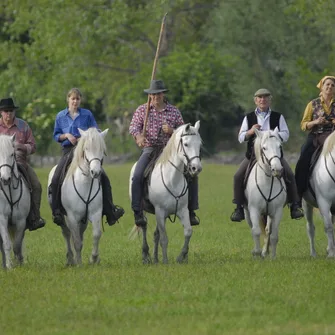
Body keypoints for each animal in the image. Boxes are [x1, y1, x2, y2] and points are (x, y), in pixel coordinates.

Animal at [48, 129, 108, 268]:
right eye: (86, 148)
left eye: (102, 149)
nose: (95, 172)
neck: (85, 184)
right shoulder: (72, 216)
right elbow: (75, 241)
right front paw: (79, 263)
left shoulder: (95, 213)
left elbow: (96, 234)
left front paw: (94, 258)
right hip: (64, 218)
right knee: (67, 234)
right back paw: (70, 259)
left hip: (83, 220)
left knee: (80, 233)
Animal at [129, 121, 202, 266]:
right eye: (186, 144)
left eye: (200, 144)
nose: (196, 168)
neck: (172, 179)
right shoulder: (160, 211)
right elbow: (164, 238)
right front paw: (166, 261)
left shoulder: (182, 210)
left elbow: (188, 232)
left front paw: (181, 256)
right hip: (145, 211)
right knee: (143, 226)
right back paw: (146, 256)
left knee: (155, 234)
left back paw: (155, 258)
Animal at [244, 129, 288, 260]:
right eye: (264, 148)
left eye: (280, 146)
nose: (277, 169)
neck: (268, 181)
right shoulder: (254, 209)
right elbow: (256, 231)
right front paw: (257, 253)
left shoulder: (277, 211)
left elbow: (274, 234)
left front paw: (272, 256)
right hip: (247, 213)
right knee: (253, 228)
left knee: (268, 230)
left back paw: (265, 251)